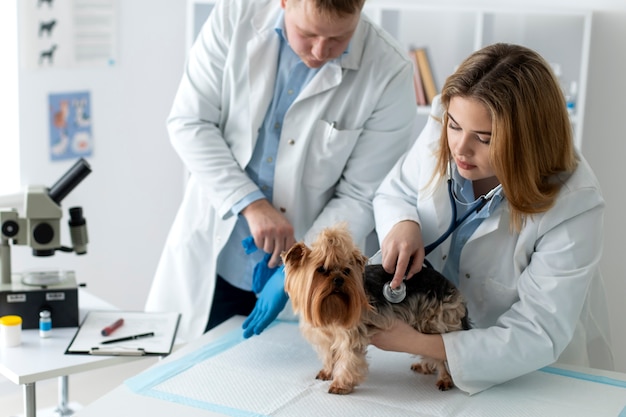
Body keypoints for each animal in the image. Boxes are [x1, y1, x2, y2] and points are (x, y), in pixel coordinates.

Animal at [282, 224, 468, 394]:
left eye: (346, 271)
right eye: (321, 269)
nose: (339, 279)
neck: (332, 307)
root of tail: (451, 287)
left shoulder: (351, 334)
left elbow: (347, 359)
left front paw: (340, 384)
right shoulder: (325, 336)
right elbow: (329, 354)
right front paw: (327, 371)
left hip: (435, 321)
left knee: (438, 352)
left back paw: (444, 379)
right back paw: (425, 366)